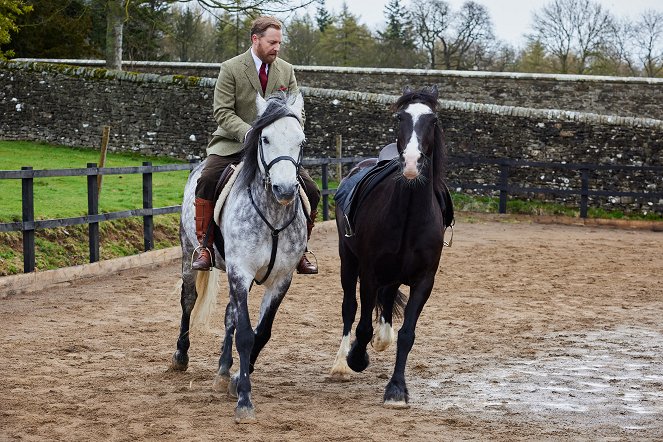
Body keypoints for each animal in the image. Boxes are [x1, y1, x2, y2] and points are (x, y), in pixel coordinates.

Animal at [332, 85, 456, 408]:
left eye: (433, 120)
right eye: (400, 117)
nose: (412, 162)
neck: (409, 214)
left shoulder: (424, 280)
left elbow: (407, 335)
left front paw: (397, 389)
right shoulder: (369, 272)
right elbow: (361, 325)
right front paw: (357, 358)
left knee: (386, 302)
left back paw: (381, 338)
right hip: (348, 262)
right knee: (349, 309)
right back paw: (341, 363)